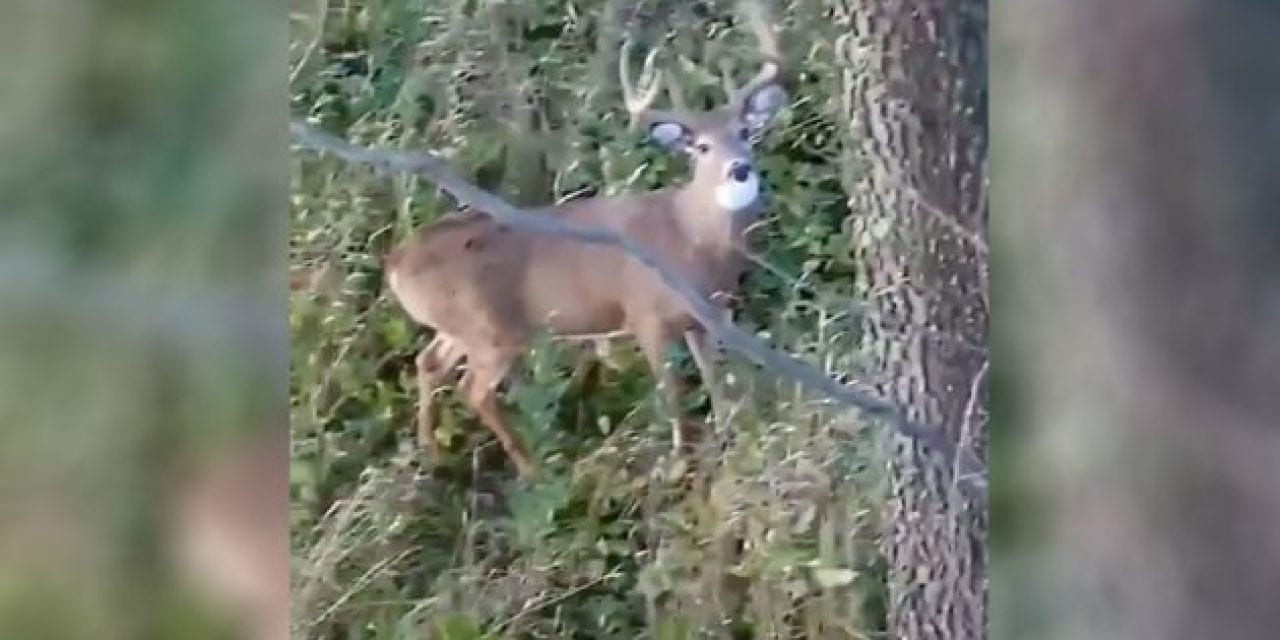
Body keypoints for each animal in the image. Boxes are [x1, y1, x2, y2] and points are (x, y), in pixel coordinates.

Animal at [378, 7, 783, 478]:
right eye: (700, 147)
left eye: (745, 132)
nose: (739, 169)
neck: (690, 241)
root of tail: (395, 265)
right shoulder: (645, 316)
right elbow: (673, 395)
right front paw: (681, 465)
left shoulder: (705, 317)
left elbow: (715, 381)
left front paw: (733, 440)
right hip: (492, 331)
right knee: (473, 388)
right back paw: (532, 469)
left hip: (459, 329)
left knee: (428, 363)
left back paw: (432, 455)